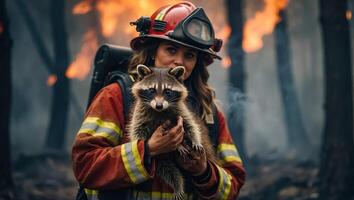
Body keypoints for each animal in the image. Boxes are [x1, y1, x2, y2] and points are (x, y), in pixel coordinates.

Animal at [127, 65, 216, 199]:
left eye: (167, 91)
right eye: (152, 90)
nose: (159, 105)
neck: (159, 112)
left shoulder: (180, 111)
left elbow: (191, 126)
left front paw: (195, 140)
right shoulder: (141, 114)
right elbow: (137, 132)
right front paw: (178, 145)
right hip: (160, 159)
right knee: (169, 171)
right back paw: (177, 185)